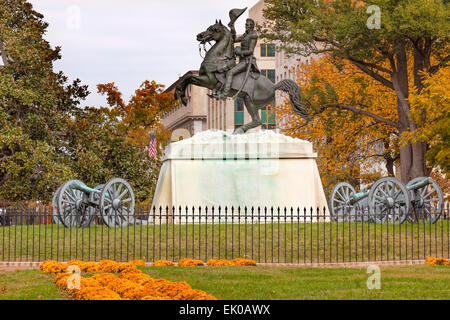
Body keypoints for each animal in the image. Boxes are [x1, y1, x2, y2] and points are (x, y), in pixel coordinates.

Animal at [174, 20, 312, 133]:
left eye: (214, 29)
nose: (199, 36)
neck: (218, 58)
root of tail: (274, 85)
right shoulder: (204, 80)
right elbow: (187, 79)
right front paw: (180, 95)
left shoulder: (208, 81)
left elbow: (189, 78)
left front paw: (181, 96)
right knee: (261, 120)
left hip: (249, 100)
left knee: (258, 120)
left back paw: (239, 130)